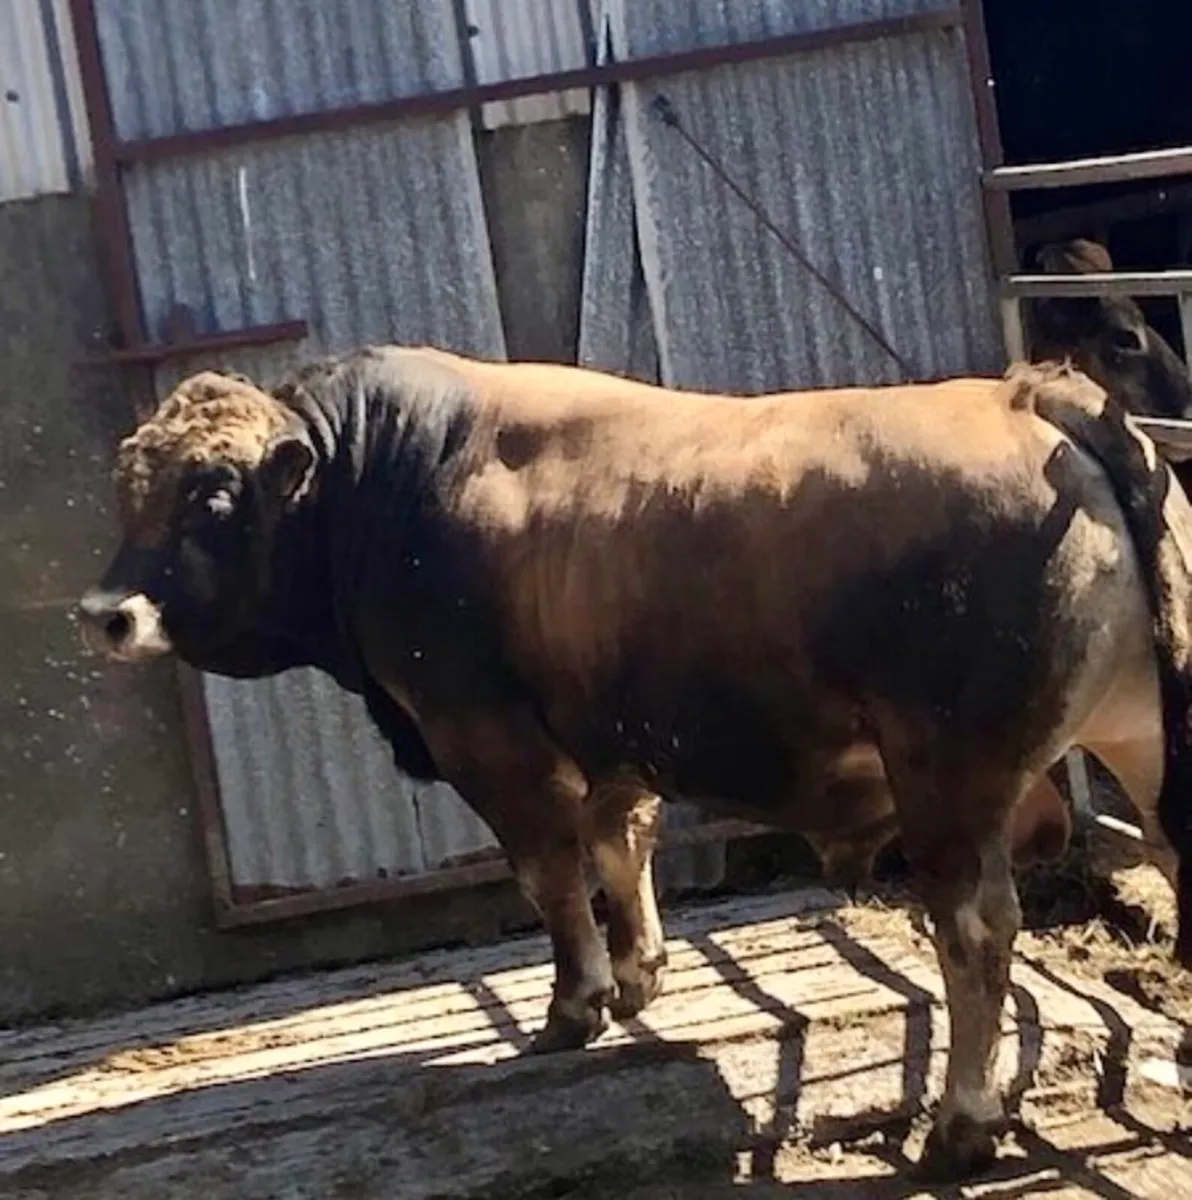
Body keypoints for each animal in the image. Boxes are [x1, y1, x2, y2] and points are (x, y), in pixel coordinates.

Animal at [77, 347, 1192, 1180]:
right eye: (129, 489)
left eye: (214, 495)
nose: (106, 613)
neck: (390, 482)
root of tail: (1029, 396)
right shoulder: (609, 736)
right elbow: (623, 844)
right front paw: (637, 979)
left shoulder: (488, 739)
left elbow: (553, 875)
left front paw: (571, 1008)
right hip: (1142, 738)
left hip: (947, 775)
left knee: (973, 930)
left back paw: (958, 1128)